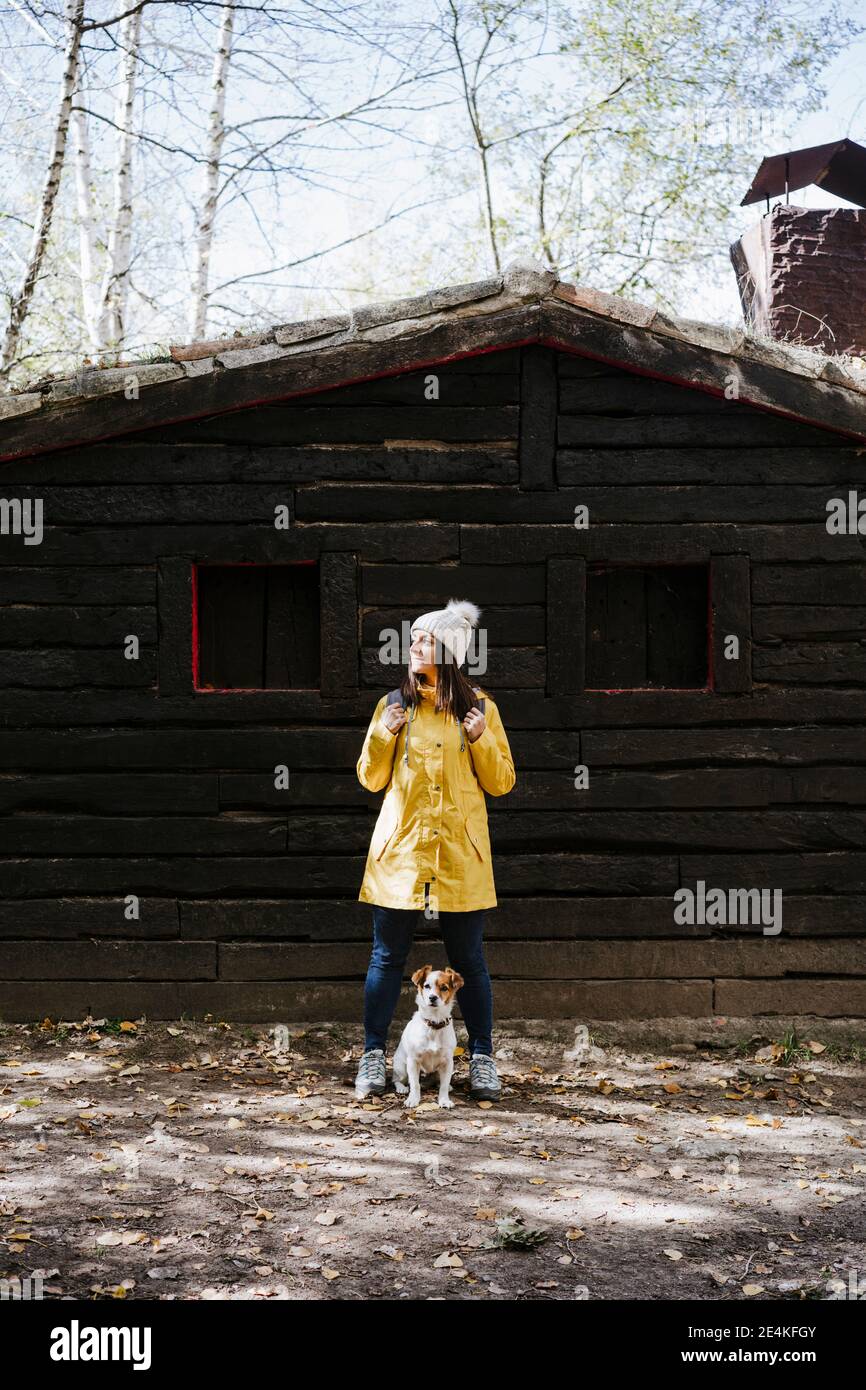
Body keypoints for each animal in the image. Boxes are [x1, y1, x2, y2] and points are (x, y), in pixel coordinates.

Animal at [391, 967, 464, 1106]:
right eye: (427, 986)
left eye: (444, 988)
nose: (432, 997)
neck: (434, 1023)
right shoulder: (413, 1061)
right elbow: (415, 1084)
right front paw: (413, 1099)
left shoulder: (447, 1062)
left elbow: (444, 1085)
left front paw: (444, 1100)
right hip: (401, 1068)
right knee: (397, 1080)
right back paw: (402, 1088)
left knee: (440, 1081)